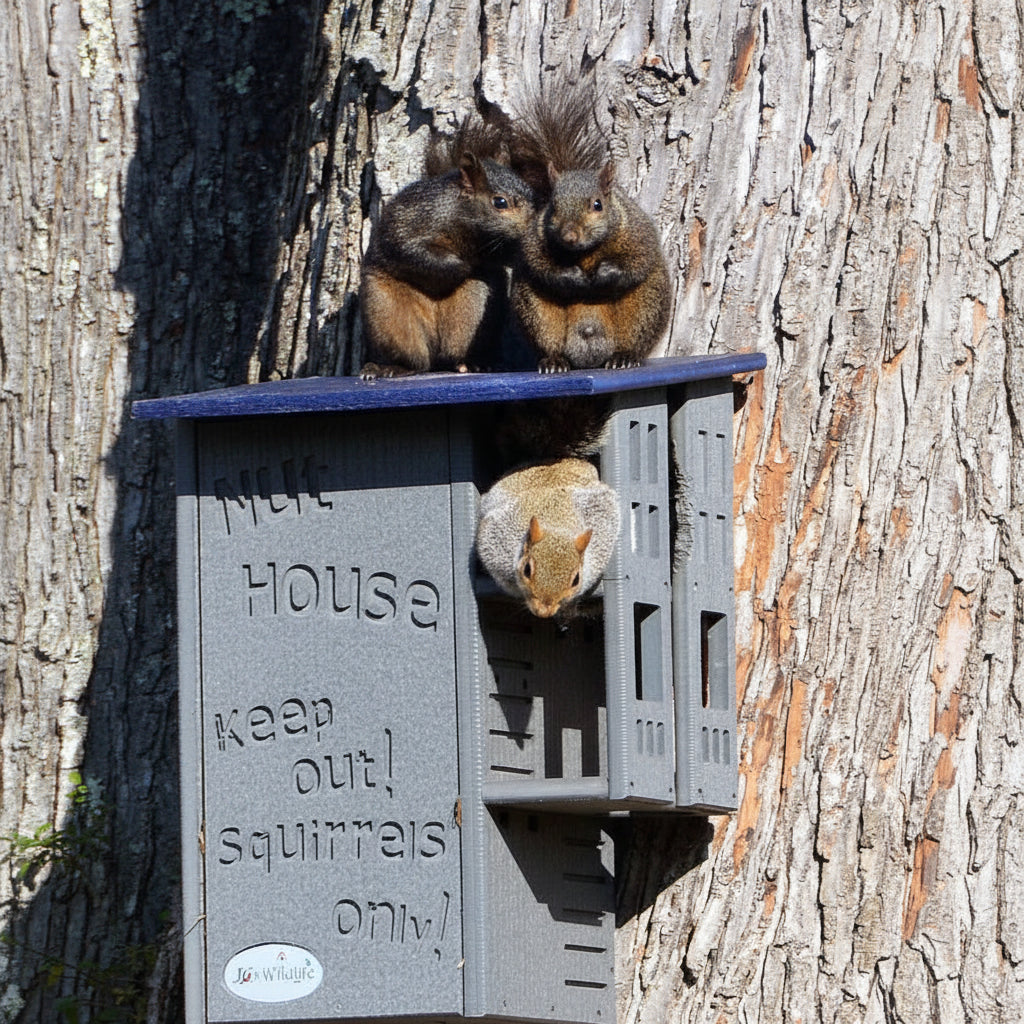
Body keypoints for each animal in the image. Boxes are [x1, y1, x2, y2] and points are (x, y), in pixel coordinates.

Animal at [359, 116, 534, 379]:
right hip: (387, 311)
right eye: (500, 202)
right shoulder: (411, 226)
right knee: (415, 359)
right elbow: (415, 253)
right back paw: (389, 367)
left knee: (454, 350)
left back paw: (471, 363)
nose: (534, 225)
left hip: (472, 307)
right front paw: (466, 263)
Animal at [508, 87, 672, 373]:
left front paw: (605, 272)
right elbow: (542, 266)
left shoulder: (639, 234)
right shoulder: (533, 243)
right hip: (537, 311)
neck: (586, 253)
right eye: (552, 206)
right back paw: (554, 361)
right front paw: (572, 276)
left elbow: (636, 263)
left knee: (634, 337)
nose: (569, 236)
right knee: (549, 340)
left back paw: (624, 357)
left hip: (645, 306)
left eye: (598, 204)